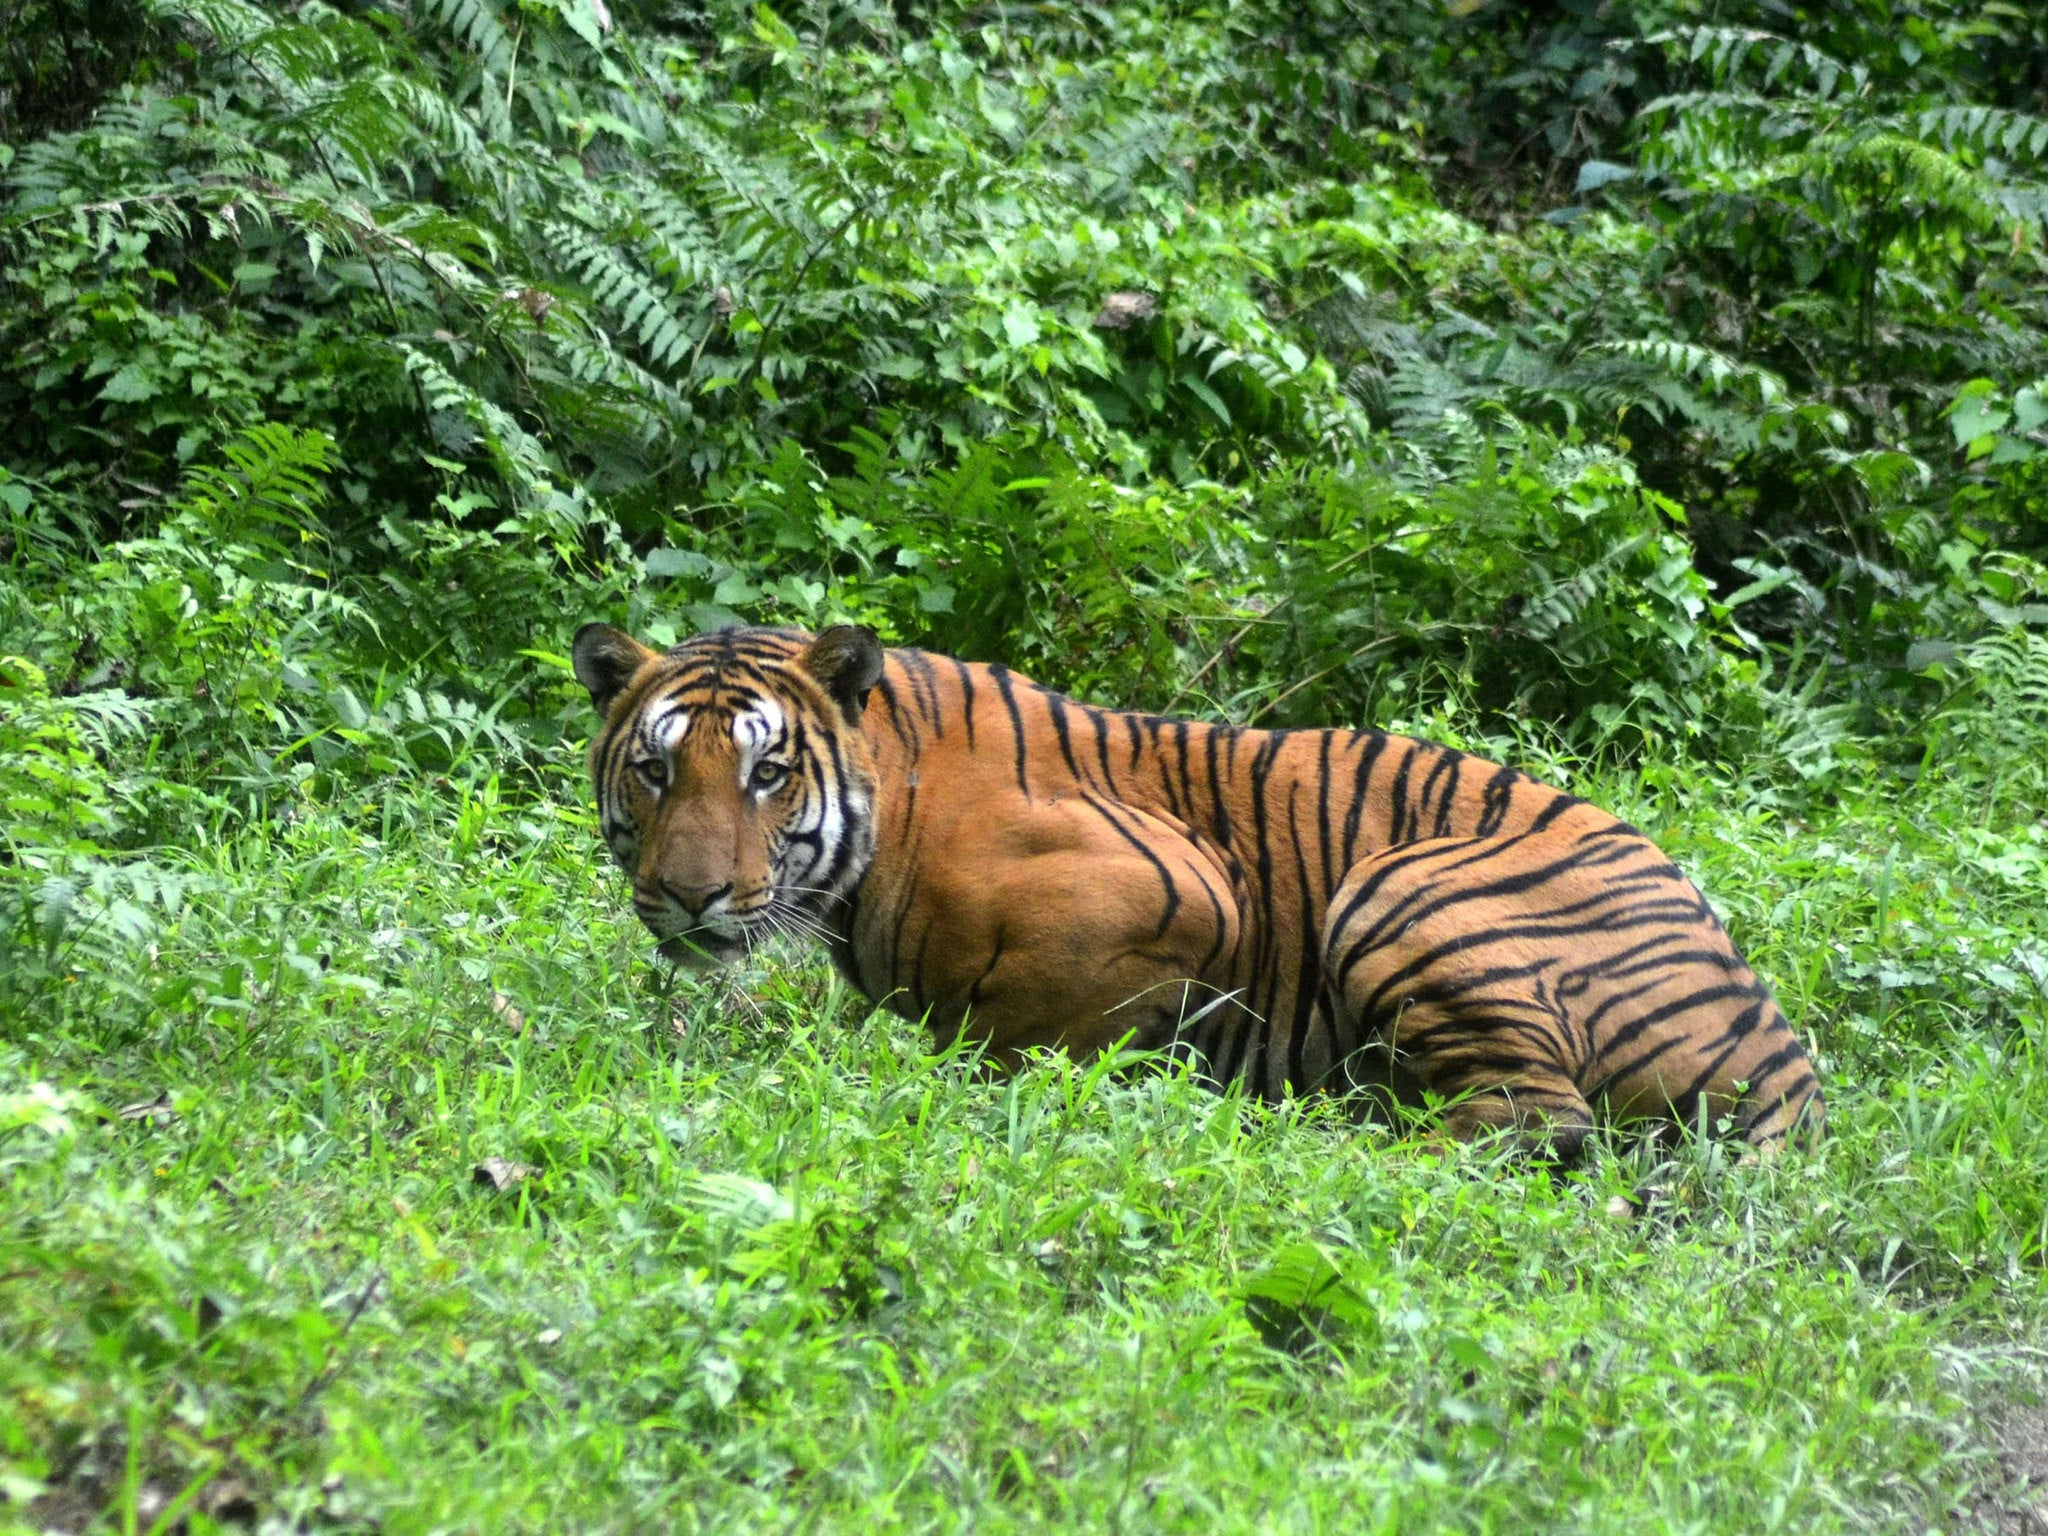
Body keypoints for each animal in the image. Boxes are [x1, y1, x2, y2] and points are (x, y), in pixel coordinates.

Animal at [573, 618, 1826, 1163]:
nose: (688, 897)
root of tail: (1782, 1054)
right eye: (655, 767)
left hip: (1400, 887)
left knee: (1530, 1127)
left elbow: (1022, 1034)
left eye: (766, 773)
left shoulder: (1178, 889)